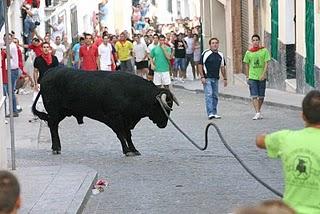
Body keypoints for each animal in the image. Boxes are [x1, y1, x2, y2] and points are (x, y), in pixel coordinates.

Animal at [32, 67, 179, 156]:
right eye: (161, 107)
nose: (164, 124)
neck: (132, 93)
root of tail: (50, 72)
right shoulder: (115, 118)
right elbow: (121, 134)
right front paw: (126, 150)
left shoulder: (127, 120)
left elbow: (128, 135)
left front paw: (134, 149)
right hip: (54, 111)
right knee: (53, 126)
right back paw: (56, 148)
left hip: (62, 112)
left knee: (53, 125)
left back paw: (56, 147)